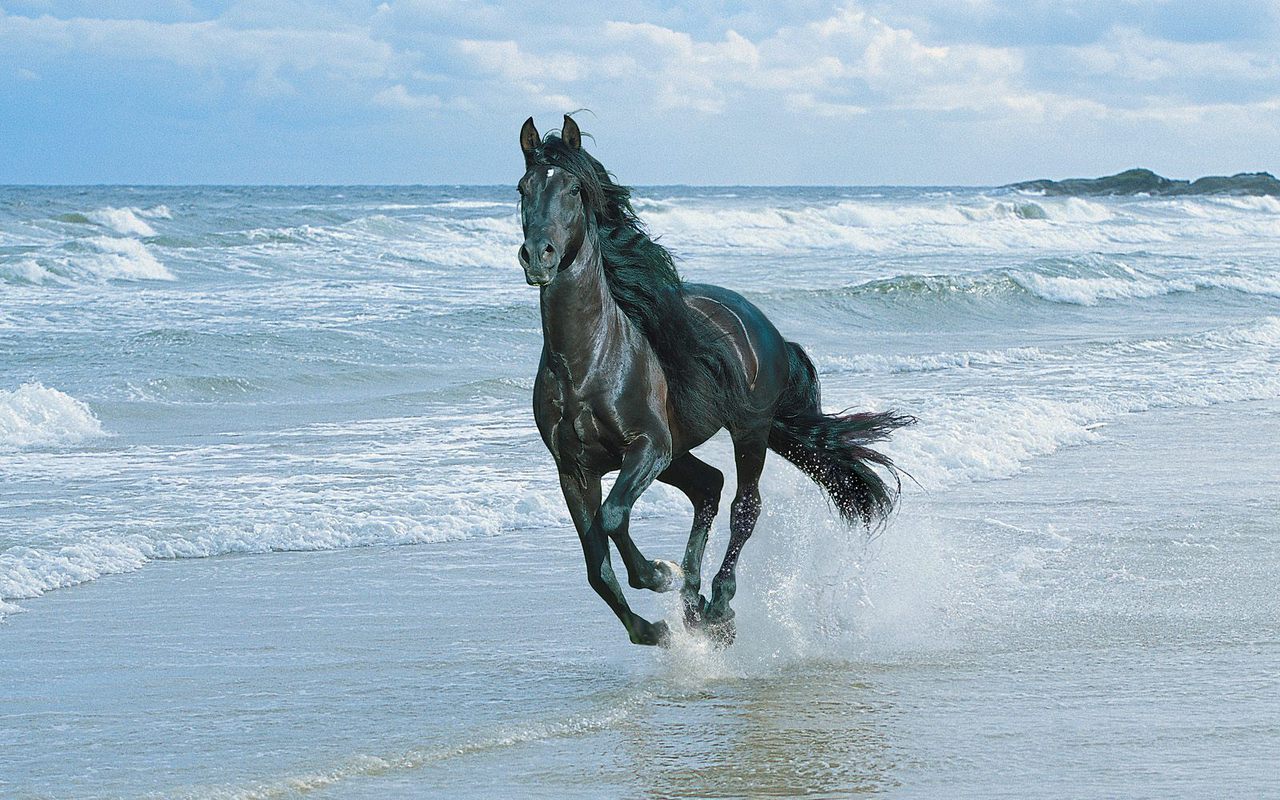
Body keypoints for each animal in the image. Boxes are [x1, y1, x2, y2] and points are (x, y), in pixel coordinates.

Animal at [517, 114, 913, 646]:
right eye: (523, 188)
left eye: (575, 190)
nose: (538, 256)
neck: (588, 362)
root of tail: (765, 327)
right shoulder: (574, 469)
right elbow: (596, 566)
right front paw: (653, 628)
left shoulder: (648, 447)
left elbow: (614, 518)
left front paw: (658, 574)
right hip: (680, 453)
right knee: (709, 486)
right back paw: (693, 603)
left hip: (747, 433)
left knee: (744, 506)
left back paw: (718, 604)